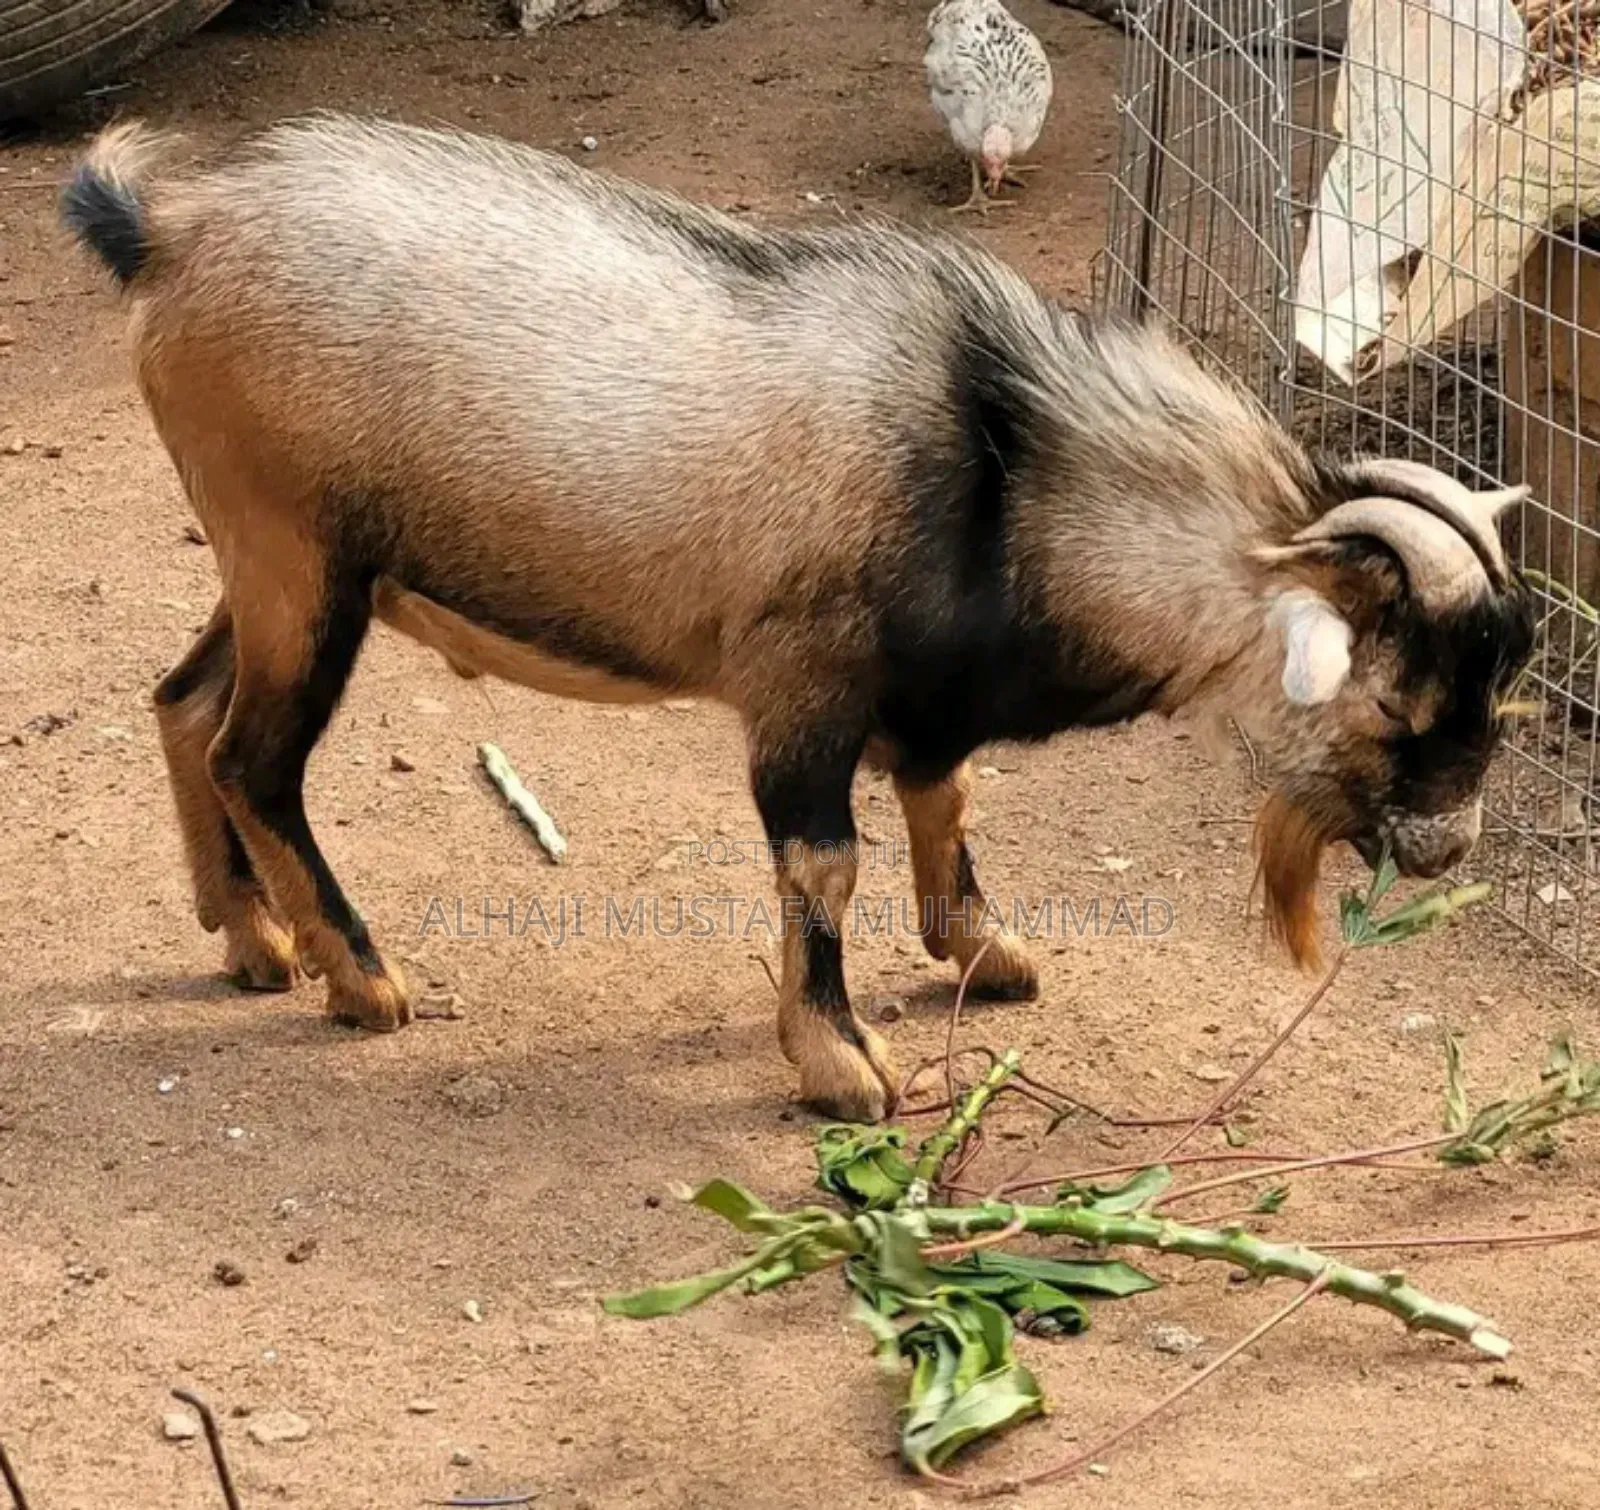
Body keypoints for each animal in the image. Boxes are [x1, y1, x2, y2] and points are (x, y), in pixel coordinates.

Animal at [61, 113, 1536, 1122]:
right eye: (1396, 702)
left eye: (1497, 699)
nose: (1448, 847)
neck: (1001, 461)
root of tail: (168, 230)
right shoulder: (802, 687)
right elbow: (824, 859)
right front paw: (840, 1059)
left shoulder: (927, 691)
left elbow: (944, 799)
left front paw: (985, 948)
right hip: (299, 558)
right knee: (258, 756)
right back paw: (360, 977)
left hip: (278, 563)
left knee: (185, 706)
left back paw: (252, 942)